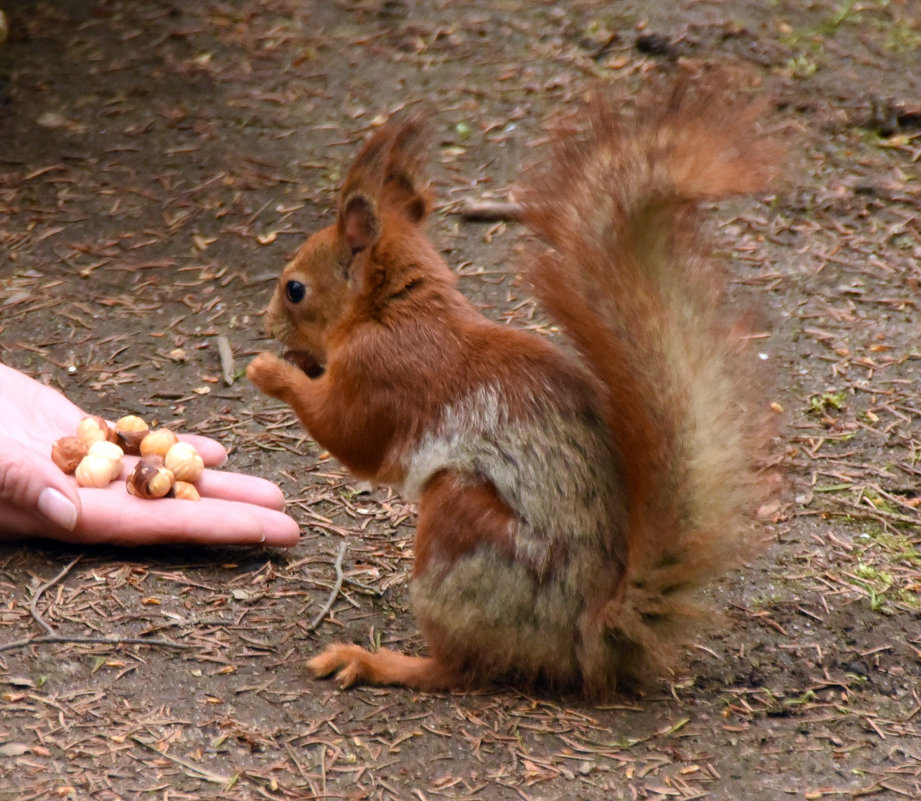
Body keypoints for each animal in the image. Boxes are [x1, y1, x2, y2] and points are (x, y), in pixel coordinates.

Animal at [248, 78, 780, 696]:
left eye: (295, 289)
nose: (267, 324)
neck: (395, 310)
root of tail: (589, 637)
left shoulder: (383, 375)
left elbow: (350, 435)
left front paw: (271, 371)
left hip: (462, 530)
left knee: (460, 667)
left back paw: (376, 661)